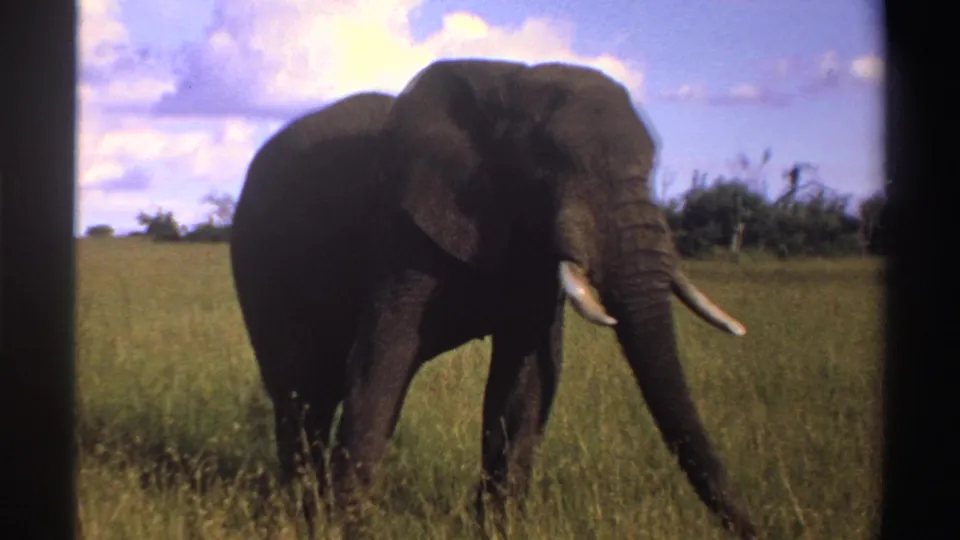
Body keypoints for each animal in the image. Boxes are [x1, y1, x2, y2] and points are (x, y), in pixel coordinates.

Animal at [230, 59, 758, 539]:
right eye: (548, 165)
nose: (757, 527)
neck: (511, 86)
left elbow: (526, 383)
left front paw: (500, 529)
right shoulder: (402, 234)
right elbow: (381, 364)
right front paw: (345, 529)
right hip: (258, 259)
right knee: (299, 394)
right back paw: (298, 512)